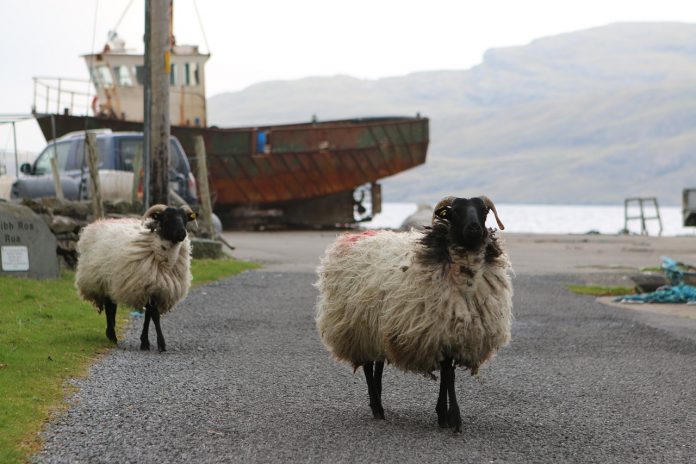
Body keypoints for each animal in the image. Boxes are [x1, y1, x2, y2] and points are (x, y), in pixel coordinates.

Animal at [75, 204, 196, 352]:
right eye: (167, 217)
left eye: (185, 219)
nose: (182, 233)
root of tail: (99, 222)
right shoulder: (147, 286)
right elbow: (154, 315)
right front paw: (160, 343)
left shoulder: (156, 289)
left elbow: (148, 316)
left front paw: (145, 341)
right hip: (102, 280)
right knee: (109, 307)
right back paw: (112, 335)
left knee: (112, 306)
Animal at [315, 196, 513, 432]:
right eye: (455, 211)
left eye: (484, 211)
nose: (474, 227)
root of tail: (348, 238)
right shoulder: (440, 333)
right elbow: (448, 375)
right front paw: (451, 418)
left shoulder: (453, 336)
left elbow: (448, 375)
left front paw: (444, 415)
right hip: (358, 327)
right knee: (368, 366)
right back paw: (377, 407)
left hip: (378, 328)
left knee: (378, 364)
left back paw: (379, 402)